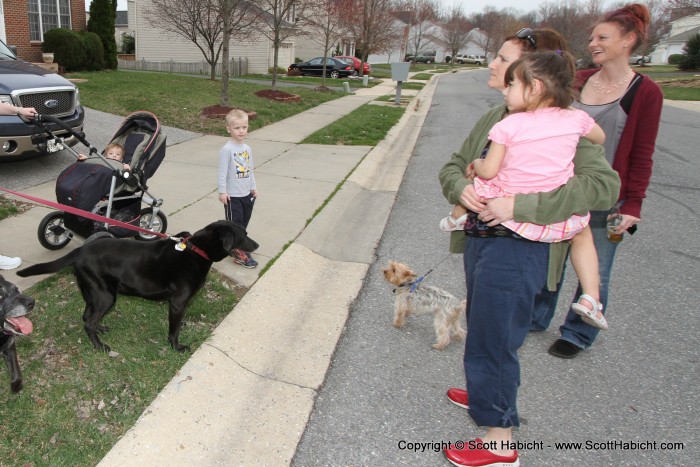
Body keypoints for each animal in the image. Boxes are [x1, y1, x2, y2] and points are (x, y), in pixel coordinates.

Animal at [18, 221, 258, 352]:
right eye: (244, 235)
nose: (257, 245)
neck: (196, 250)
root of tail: (80, 250)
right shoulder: (177, 303)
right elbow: (173, 331)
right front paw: (176, 347)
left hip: (92, 292)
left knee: (87, 317)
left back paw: (100, 330)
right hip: (105, 296)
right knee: (89, 322)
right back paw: (100, 346)